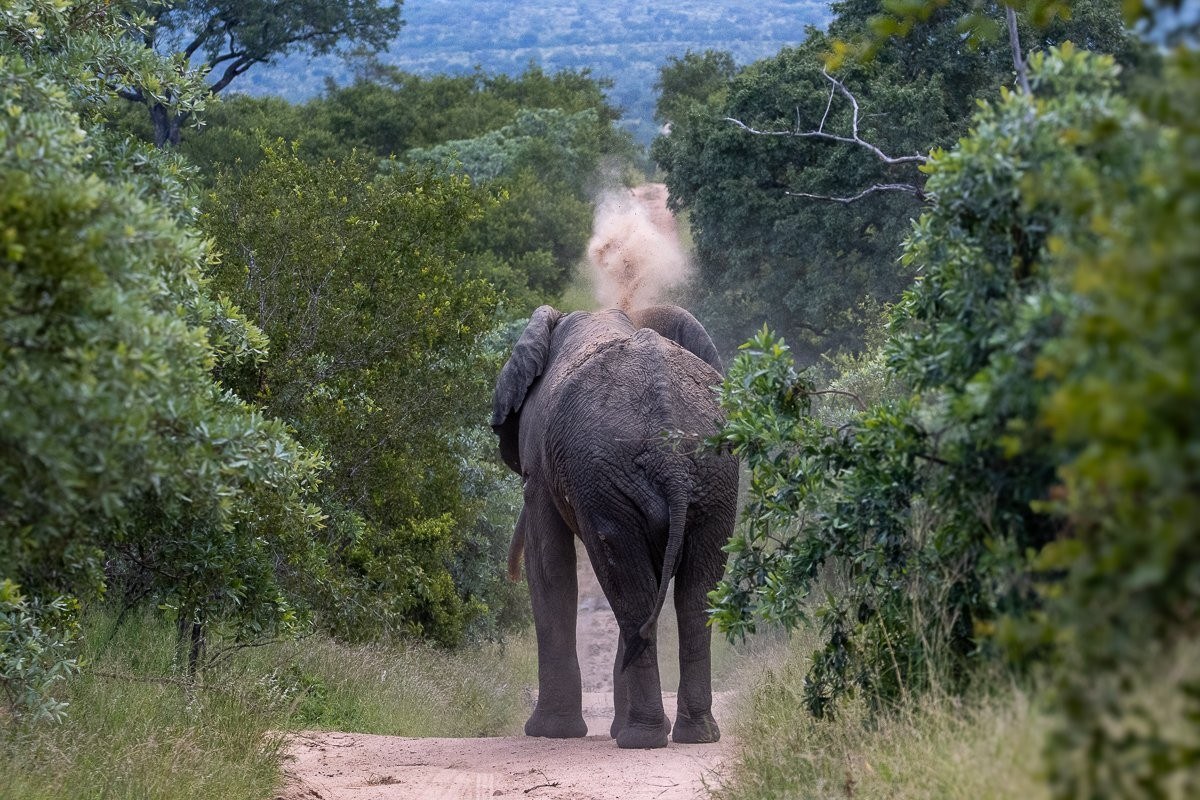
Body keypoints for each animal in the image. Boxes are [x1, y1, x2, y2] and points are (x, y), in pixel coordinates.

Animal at [491, 303, 738, 749]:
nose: (509, 574)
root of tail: (671, 456)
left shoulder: (538, 460)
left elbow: (549, 565)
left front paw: (547, 733)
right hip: (711, 476)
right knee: (686, 594)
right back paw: (693, 735)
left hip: (611, 478)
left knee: (628, 586)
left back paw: (640, 739)